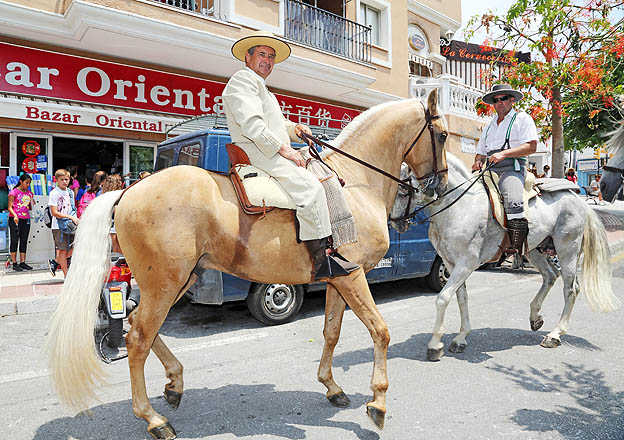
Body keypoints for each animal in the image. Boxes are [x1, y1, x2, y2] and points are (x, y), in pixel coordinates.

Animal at [47, 91, 448, 438]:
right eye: (443, 135)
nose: (440, 185)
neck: (355, 184)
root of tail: (129, 190)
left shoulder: (341, 278)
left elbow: (331, 332)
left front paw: (331, 386)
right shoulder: (354, 278)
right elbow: (380, 331)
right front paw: (378, 402)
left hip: (177, 281)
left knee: (138, 325)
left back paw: (174, 383)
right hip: (165, 282)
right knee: (138, 338)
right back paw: (153, 419)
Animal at [390, 154, 620, 360]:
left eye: (402, 192)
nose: (394, 223)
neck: (459, 207)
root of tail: (577, 200)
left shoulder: (466, 264)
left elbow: (443, 298)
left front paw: (435, 344)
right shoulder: (451, 263)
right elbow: (461, 297)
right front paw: (461, 337)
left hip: (567, 249)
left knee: (571, 289)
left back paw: (555, 335)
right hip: (533, 250)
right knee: (550, 276)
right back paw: (535, 317)